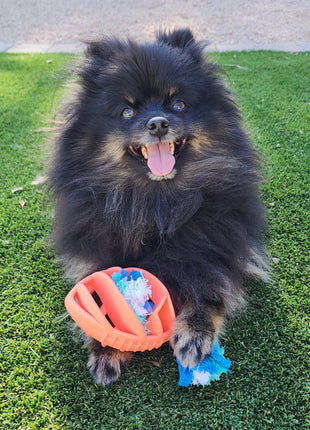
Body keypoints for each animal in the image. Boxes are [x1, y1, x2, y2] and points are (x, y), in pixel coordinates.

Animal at [49, 28, 268, 384]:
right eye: (127, 111)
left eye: (178, 104)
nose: (158, 123)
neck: (157, 203)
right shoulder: (97, 247)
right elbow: (98, 287)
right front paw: (106, 346)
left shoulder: (217, 243)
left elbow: (209, 281)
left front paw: (194, 333)